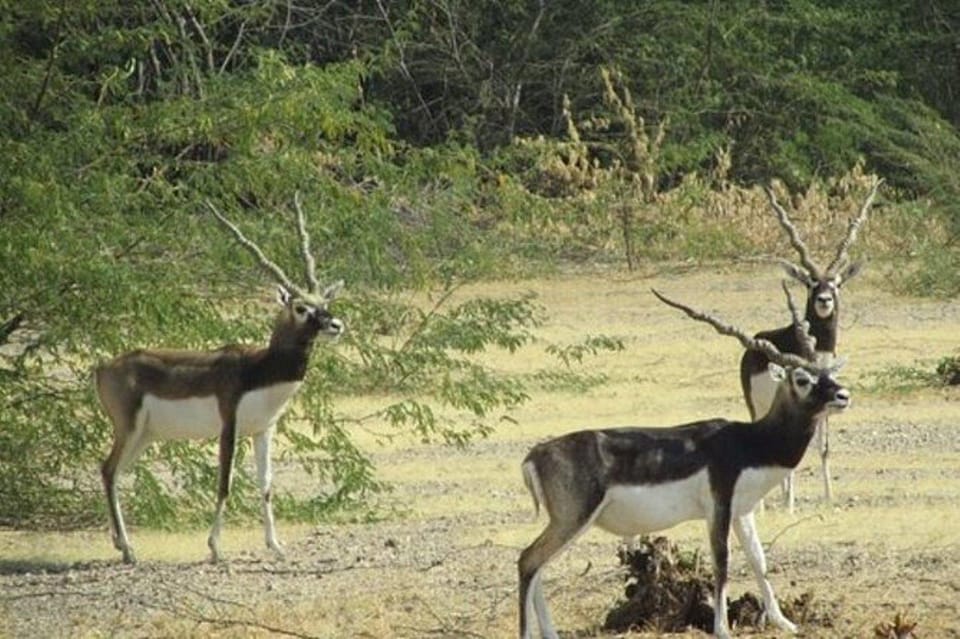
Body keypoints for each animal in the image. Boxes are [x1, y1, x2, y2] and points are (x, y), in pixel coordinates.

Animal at [96, 196, 344, 564]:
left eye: (324, 302)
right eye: (301, 307)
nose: (336, 324)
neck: (260, 369)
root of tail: (104, 367)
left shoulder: (263, 430)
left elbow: (266, 485)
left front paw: (276, 545)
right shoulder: (229, 427)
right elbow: (224, 483)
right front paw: (214, 548)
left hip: (144, 435)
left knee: (112, 472)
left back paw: (120, 544)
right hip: (129, 429)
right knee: (109, 469)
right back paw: (128, 550)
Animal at [516, 288, 848, 639]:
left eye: (828, 375)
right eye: (801, 379)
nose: (843, 395)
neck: (750, 441)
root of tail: (535, 455)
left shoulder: (742, 509)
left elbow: (758, 559)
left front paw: (784, 622)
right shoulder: (719, 505)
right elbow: (722, 561)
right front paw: (722, 629)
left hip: (566, 522)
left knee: (539, 567)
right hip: (574, 518)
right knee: (528, 561)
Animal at [748, 178, 880, 512]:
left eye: (836, 283)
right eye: (810, 282)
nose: (824, 299)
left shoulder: (826, 402)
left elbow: (824, 447)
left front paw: (829, 497)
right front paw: (789, 505)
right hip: (756, 404)